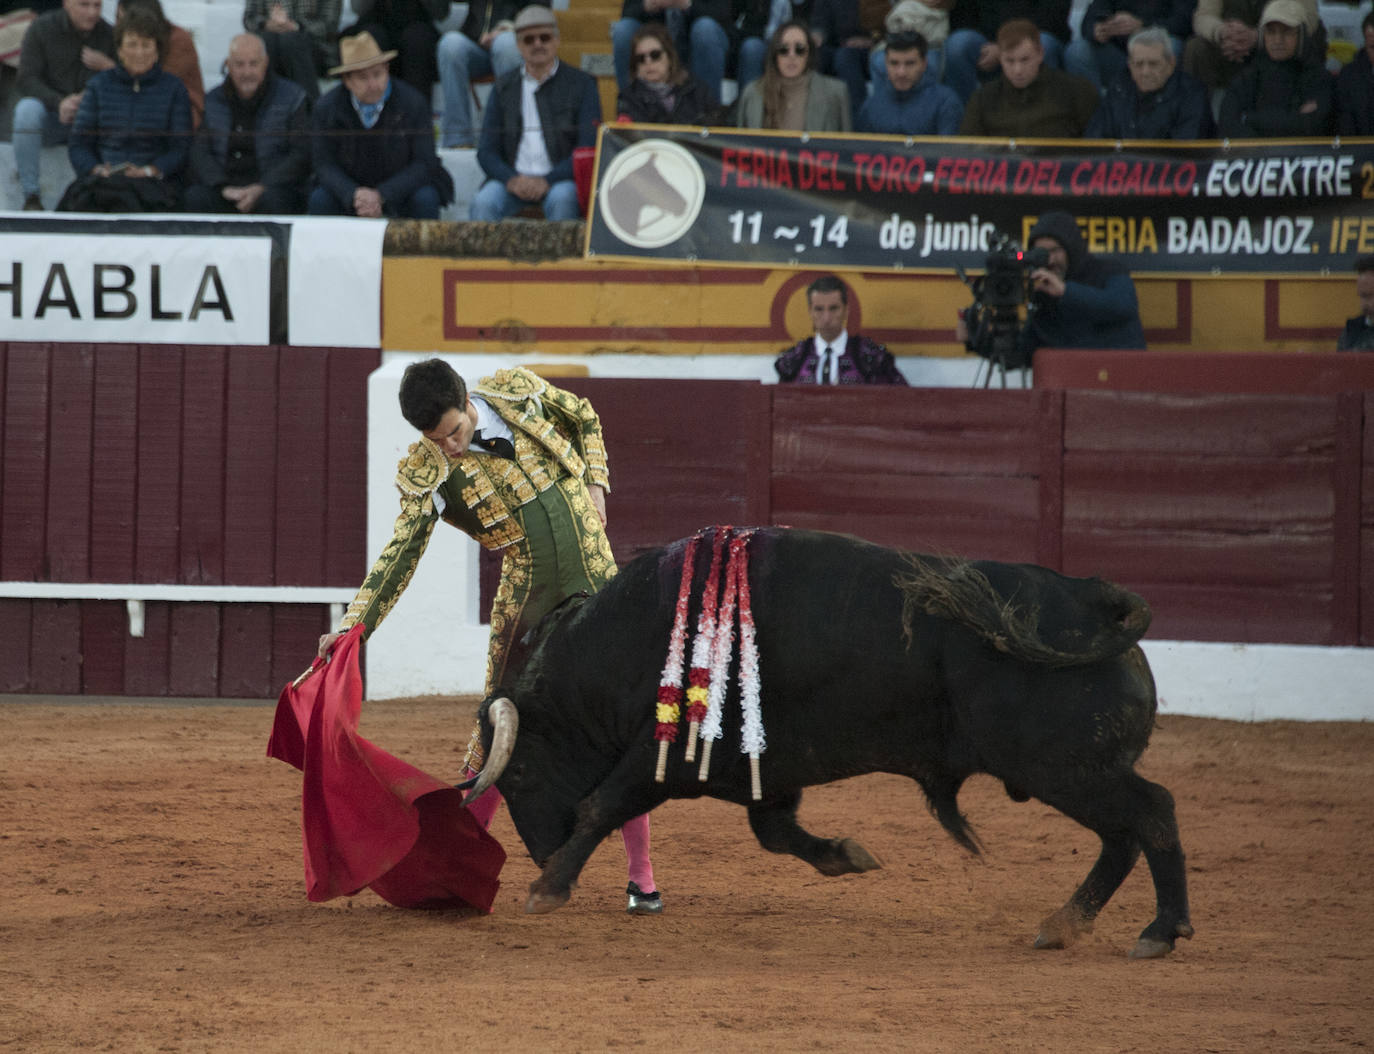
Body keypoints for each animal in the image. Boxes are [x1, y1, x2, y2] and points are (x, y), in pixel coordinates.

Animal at [469, 524, 1192, 956]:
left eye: (520, 776)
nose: (541, 853)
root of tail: (1099, 601)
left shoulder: (660, 753)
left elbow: (602, 804)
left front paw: (548, 888)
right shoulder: (762, 771)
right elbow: (777, 833)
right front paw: (848, 855)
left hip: (1066, 767)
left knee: (1151, 813)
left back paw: (1159, 930)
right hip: (1075, 771)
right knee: (1124, 834)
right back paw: (1065, 923)